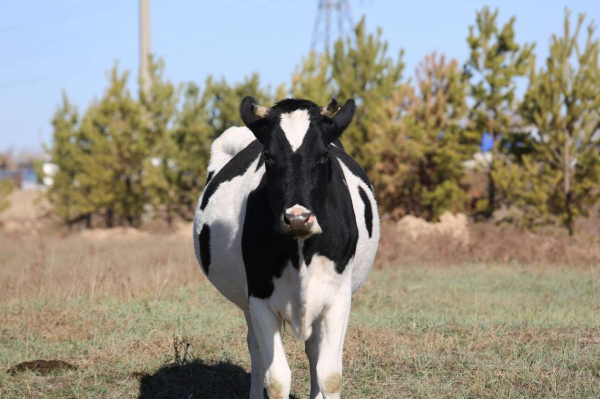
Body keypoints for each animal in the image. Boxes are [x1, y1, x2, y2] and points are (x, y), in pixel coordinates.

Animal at [192, 97, 380, 399]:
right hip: (248, 303)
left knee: (313, 349)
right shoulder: (258, 297)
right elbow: (278, 378)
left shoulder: (339, 297)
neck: (300, 251)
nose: (298, 218)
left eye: (323, 155)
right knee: (256, 349)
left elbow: (330, 375)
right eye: (268, 157)